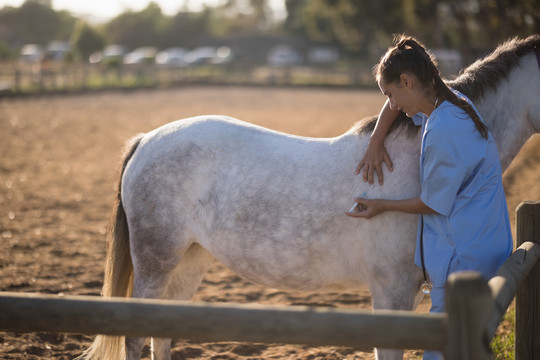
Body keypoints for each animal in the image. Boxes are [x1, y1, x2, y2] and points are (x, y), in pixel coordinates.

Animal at [80, 35, 540, 360]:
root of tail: (146, 140)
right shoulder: (391, 292)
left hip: (189, 260)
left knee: (163, 331)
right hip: (155, 262)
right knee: (135, 337)